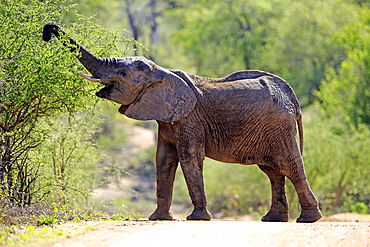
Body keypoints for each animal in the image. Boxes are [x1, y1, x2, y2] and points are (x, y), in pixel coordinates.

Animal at [42, 23, 320, 223]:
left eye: (123, 74)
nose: (46, 32)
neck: (162, 72)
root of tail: (290, 96)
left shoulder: (189, 119)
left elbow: (189, 158)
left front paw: (197, 219)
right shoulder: (166, 120)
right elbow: (163, 160)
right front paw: (158, 219)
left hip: (279, 126)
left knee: (290, 166)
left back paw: (307, 220)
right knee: (273, 172)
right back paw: (273, 220)